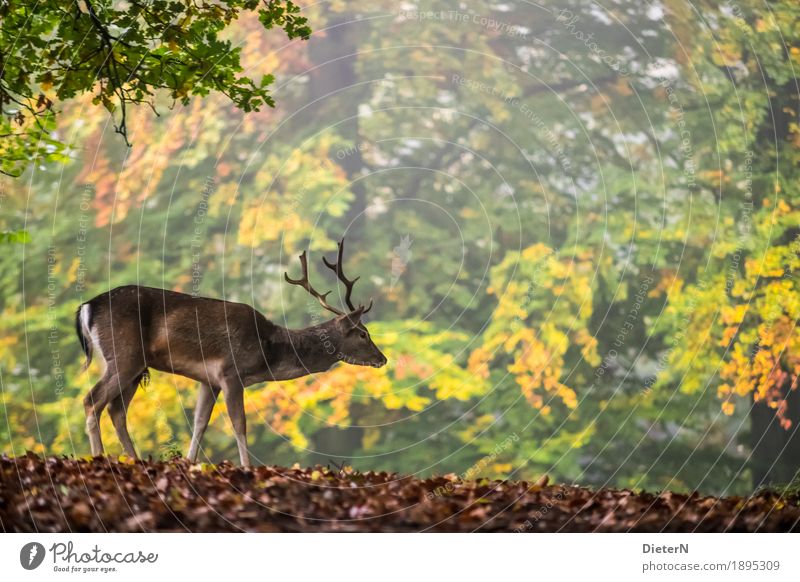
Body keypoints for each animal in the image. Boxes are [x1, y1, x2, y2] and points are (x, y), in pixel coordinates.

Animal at [76, 240, 386, 468]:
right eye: (363, 333)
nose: (382, 358)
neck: (267, 351)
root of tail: (87, 307)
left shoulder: (208, 380)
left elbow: (200, 423)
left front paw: (190, 463)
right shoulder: (230, 372)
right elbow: (240, 424)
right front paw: (247, 468)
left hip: (135, 365)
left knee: (116, 409)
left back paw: (134, 459)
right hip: (125, 355)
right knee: (92, 400)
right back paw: (98, 457)